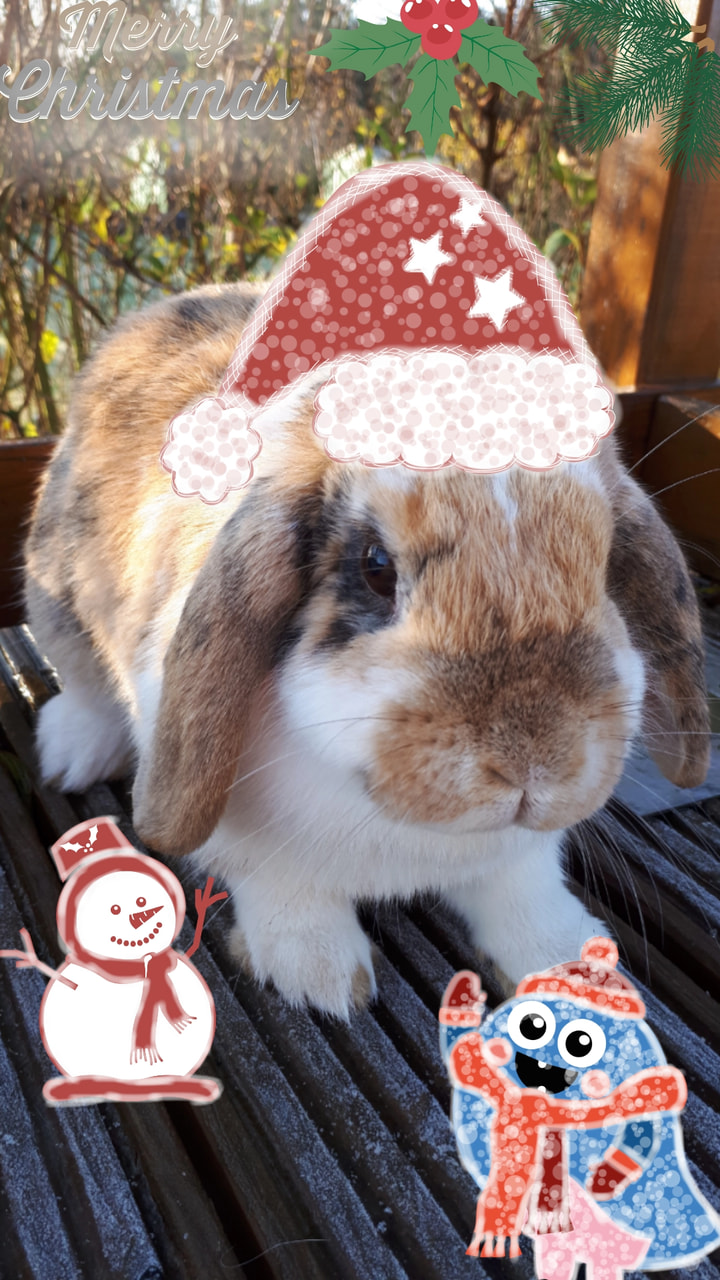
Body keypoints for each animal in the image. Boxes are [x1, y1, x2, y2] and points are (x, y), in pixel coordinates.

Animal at [24, 280, 710, 1018]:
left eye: (606, 563)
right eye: (375, 567)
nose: (533, 765)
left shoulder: (518, 859)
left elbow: (523, 891)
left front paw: (568, 960)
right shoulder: (249, 839)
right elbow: (285, 890)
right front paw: (322, 977)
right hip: (55, 589)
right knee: (84, 686)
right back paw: (72, 755)